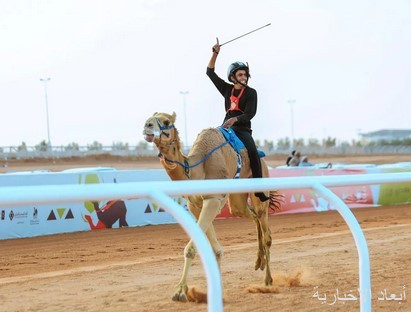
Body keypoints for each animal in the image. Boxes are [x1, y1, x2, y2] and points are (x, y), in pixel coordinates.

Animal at [143, 112, 282, 302]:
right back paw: (258, 261)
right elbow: (215, 249)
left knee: (265, 228)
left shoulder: (213, 199)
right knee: (252, 216)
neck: (196, 170)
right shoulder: (195, 204)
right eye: (150, 117)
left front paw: (180, 291)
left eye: (166, 121)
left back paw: (268, 280)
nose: (147, 126)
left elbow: (192, 248)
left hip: (259, 186)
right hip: (236, 202)